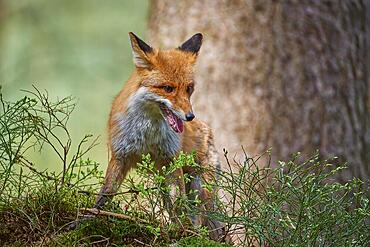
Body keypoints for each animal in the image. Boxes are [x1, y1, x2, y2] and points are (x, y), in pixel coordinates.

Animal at [95, 32, 225, 241]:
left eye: (189, 89)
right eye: (168, 88)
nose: (189, 116)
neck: (147, 133)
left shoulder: (171, 159)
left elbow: (179, 204)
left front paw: (182, 233)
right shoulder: (120, 155)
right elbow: (105, 194)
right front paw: (86, 219)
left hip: (201, 191)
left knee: (207, 222)